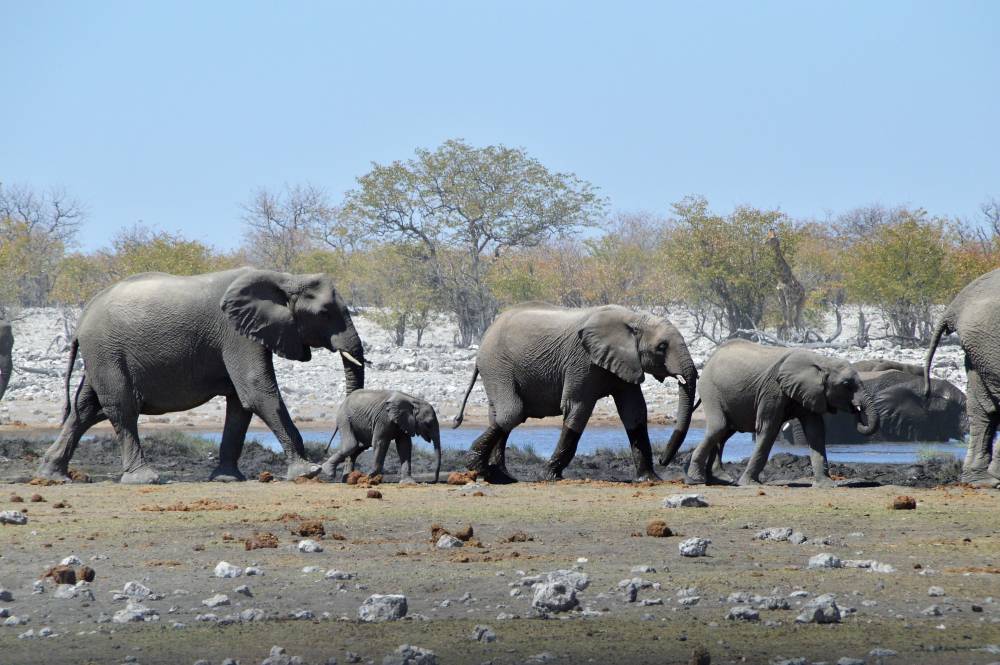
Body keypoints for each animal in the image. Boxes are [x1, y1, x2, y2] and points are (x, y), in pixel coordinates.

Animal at [39, 266, 370, 482]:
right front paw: (307, 471)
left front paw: (227, 479)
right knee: (121, 408)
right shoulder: (236, 334)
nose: (344, 473)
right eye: (325, 312)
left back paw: (53, 475)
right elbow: (257, 391)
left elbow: (240, 404)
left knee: (85, 409)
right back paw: (145, 478)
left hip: (100, 355)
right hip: (106, 350)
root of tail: (82, 318)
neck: (285, 277)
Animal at [454, 302, 696, 482]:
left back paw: (502, 476)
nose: (664, 460)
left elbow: (635, 412)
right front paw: (550, 476)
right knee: (512, 412)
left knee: (500, 414)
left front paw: (650, 479)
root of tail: (485, 336)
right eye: (662, 347)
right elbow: (578, 408)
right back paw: (479, 468)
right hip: (497, 365)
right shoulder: (582, 361)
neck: (635, 318)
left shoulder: (626, 363)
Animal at [676, 340, 880, 486]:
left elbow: (815, 431)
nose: (856, 411)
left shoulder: (809, 392)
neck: (821, 361)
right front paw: (749, 484)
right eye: (846, 384)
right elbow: (768, 428)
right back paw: (696, 480)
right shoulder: (772, 390)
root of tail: (710, 359)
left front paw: (826, 485)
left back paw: (717, 480)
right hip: (710, 389)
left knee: (724, 432)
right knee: (719, 427)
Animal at [924, 268, 1000, 486]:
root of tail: (957, 303)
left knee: (981, 408)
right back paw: (988, 479)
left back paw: (981, 480)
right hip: (986, 342)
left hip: (980, 347)